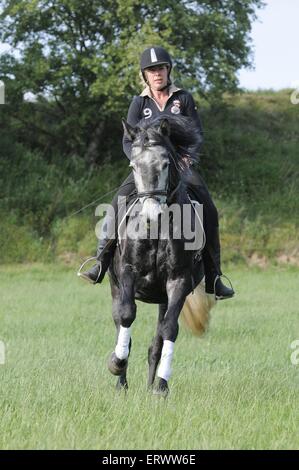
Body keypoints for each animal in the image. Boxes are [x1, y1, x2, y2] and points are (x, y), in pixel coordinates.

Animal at [106, 115, 214, 394]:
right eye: (133, 165)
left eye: (165, 164)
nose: (151, 216)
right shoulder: (128, 273)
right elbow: (126, 315)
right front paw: (117, 364)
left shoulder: (178, 281)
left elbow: (169, 329)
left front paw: (161, 387)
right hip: (114, 285)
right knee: (120, 321)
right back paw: (121, 381)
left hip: (163, 297)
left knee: (156, 342)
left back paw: (150, 384)